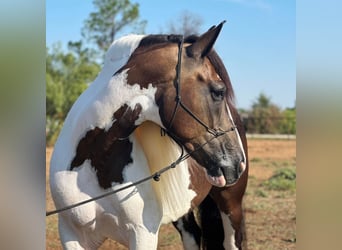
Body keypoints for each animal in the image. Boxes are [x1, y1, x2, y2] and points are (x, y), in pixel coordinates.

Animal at [49, 22, 248, 250]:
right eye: (218, 92)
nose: (239, 162)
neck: (93, 159)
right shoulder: (71, 233)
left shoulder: (143, 234)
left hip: (231, 204)